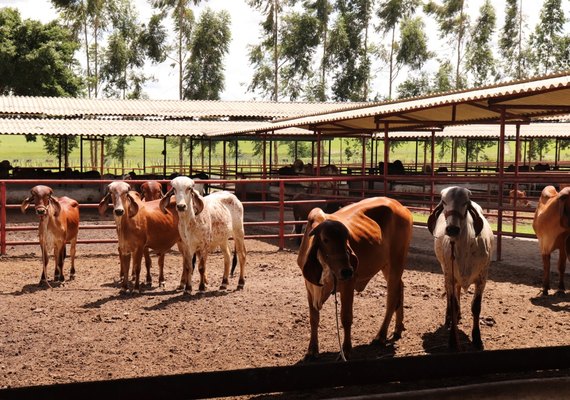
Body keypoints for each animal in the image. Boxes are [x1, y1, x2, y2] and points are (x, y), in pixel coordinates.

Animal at [296, 197, 410, 360]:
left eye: (347, 239)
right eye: (325, 239)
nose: (346, 271)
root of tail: (401, 206)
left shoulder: (348, 284)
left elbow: (346, 318)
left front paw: (347, 350)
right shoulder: (310, 287)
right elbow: (314, 319)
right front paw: (312, 350)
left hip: (397, 261)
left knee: (392, 299)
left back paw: (381, 335)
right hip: (387, 266)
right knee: (400, 287)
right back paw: (398, 328)